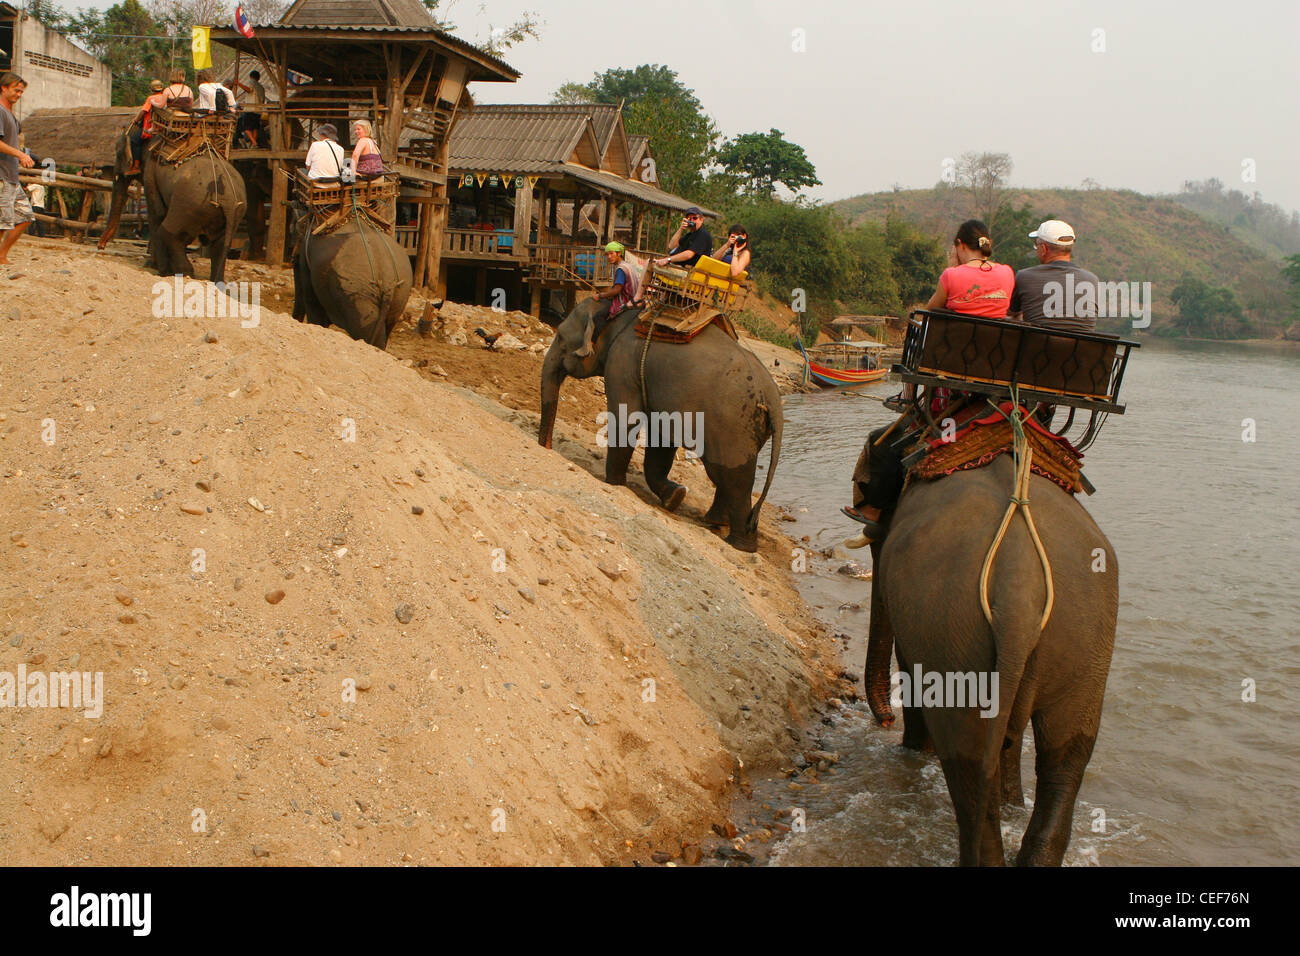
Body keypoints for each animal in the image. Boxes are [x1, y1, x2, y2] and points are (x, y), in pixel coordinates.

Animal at [96, 125, 245, 286]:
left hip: (189, 206)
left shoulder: (151, 170)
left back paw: (179, 273)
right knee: (220, 243)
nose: (100, 247)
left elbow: (157, 213)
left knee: (169, 232)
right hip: (230, 213)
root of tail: (228, 198)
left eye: (118, 154)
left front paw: (152, 266)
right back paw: (214, 280)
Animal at [289, 197, 410, 351]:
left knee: (364, 334)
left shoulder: (307, 260)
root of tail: (387, 279)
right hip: (400, 295)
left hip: (357, 294)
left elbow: (312, 302)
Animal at [538, 299, 780, 554]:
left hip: (733, 427)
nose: (547, 447)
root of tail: (774, 399)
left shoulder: (622, 362)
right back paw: (714, 522)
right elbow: (661, 441)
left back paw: (740, 544)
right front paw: (675, 497)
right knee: (728, 477)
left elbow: (627, 421)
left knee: (730, 478)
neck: (615, 314)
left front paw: (614, 483)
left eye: (560, 337)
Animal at [863, 455, 1118, 868]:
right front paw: (1013, 803)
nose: (885, 720)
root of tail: (1019, 589)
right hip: (1086, 637)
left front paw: (913, 751)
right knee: (1066, 753)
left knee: (965, 758)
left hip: (952, 632)